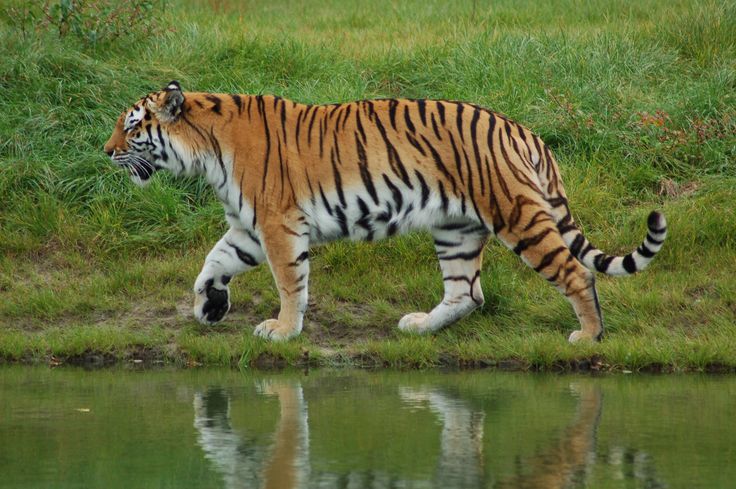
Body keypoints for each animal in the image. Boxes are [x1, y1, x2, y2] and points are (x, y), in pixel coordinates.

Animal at [102, 81, 668, 340]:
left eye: (131, 127)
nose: (105, 152)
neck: (206, 151)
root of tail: (523, 130)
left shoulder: (277, 224)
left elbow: (289, 282)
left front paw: (283, 329)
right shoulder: (247, 226)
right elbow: (212, 262)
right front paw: (209, 306)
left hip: (518, 217)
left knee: (575, 273)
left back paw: (588, 335)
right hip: (456, 229)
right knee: (467, 293)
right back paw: (420, 326)